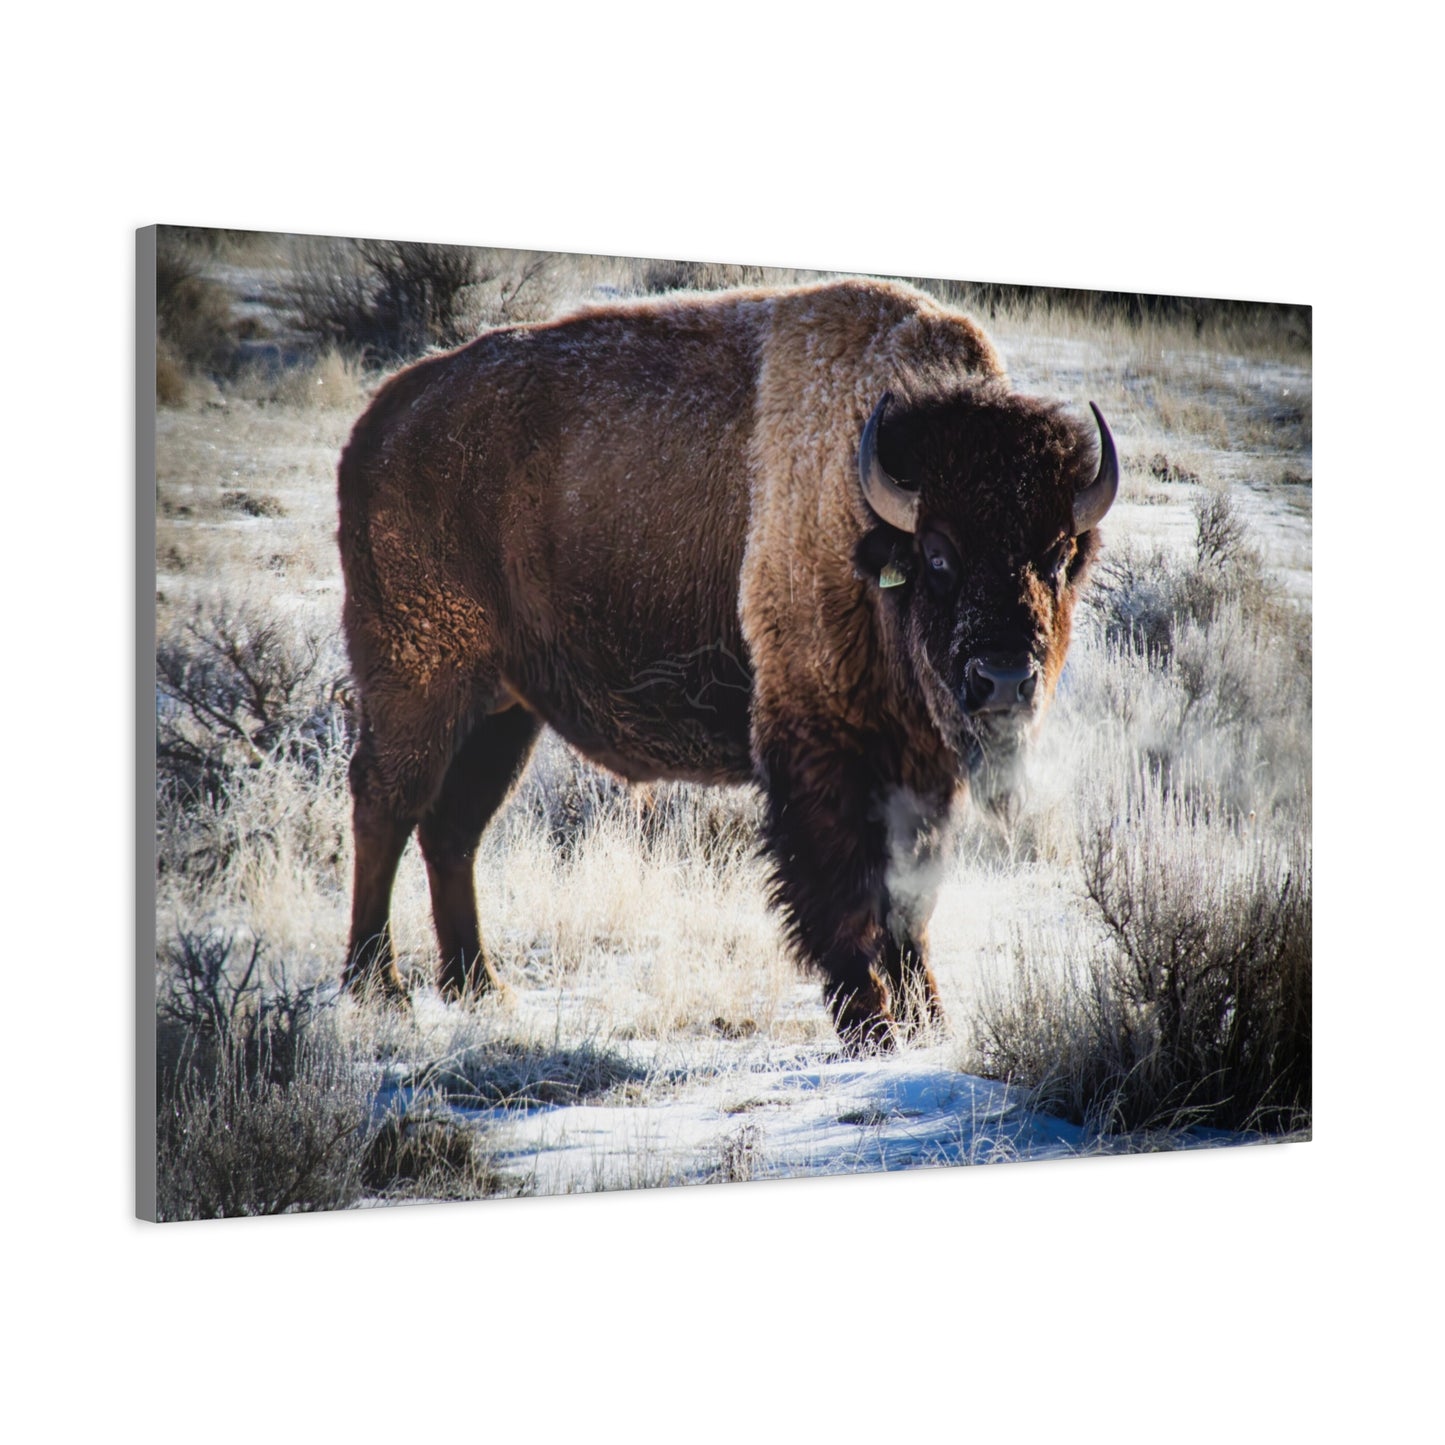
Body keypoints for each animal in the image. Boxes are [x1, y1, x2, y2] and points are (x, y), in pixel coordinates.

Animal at [337, 277, 1116, 1046]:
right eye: (938, 554)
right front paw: (871, 1025)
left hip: (503, 711)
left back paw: (477, 985)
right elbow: (844, 891)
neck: (867, 519)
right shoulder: (822, 750)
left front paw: (928, 1021)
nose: (1003, 680)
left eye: (1056, 557)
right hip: (419, 683)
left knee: (453, 829)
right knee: (386, 806)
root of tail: (381, 420)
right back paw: (379, 986)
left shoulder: (920, 768)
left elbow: (910, 898)